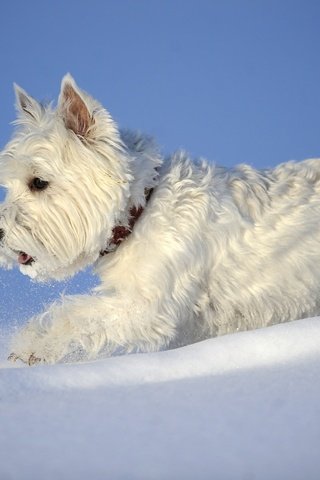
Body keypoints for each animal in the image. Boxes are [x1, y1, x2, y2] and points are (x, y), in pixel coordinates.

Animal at [0, 75, 320, 366]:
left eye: (38, 182)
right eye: (9, 185)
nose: (0, 234)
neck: (141, 209)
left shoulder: (148, 304)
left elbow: (75, 314)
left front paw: (31, 346)